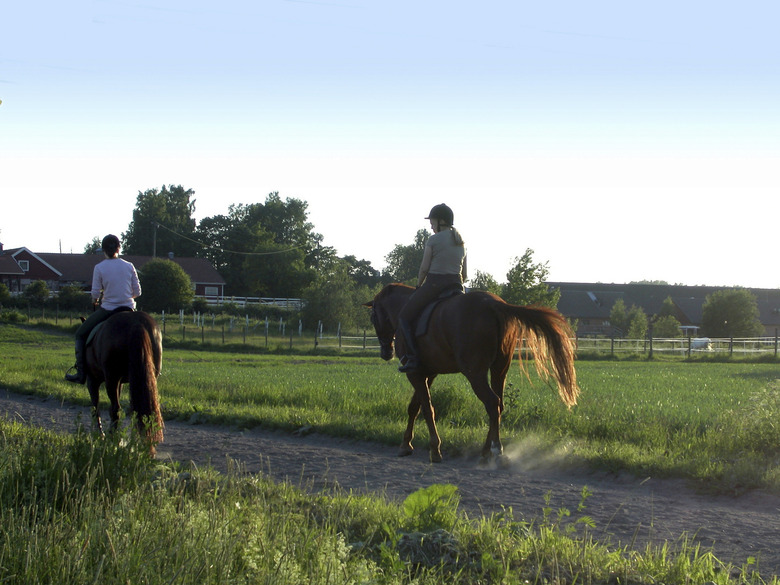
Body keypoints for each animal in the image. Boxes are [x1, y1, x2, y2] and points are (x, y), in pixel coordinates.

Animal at [84, 310, 165, 452]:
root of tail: (136, 322)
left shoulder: (92, 380)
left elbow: (96, 408)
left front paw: (99, 435)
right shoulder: (120, 382)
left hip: (111, 378)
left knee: (116, 409)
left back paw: (112, 437)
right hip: (144, 378)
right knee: (138, 410)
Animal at [366, 286, 580, 464]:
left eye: (373, 317)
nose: (386, 352)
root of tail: (494, 304)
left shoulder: (415, 373)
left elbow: (426, 409)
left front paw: (434, 449)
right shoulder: (428, 374)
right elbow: (414, 407)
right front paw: (405, 445)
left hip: (475, 373)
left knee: (492, 403)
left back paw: (495, 450)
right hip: (499, 370)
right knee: (498, 405)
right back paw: (487, 451)